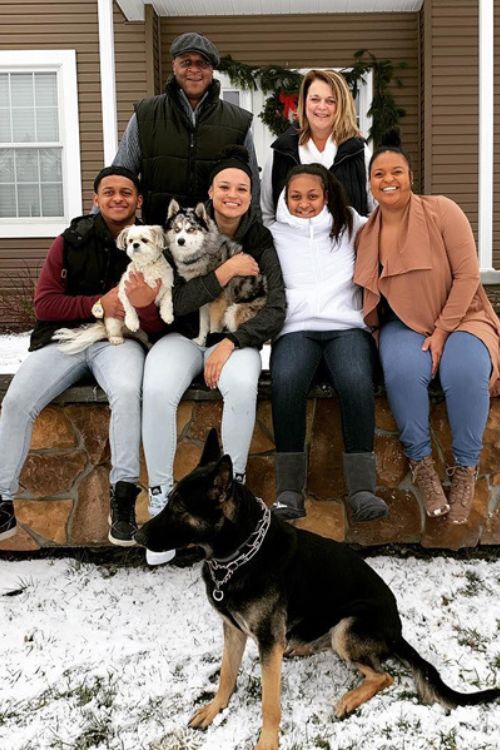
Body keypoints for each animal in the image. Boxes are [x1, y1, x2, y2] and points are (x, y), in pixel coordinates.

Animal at [54, 226, 175, 356]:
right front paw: (132, 322)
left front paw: (167, 316)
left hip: (142, 333)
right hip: (113, 322)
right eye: (130, 241)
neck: (147, 266)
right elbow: (130, 308)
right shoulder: (125, 291)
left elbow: (167, 301)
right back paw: (116, 338)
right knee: (112, 334)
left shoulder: (166, 286)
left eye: (144, 240)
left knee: (143, 338)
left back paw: (149, 344)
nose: (135, 245)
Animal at [135, 432, 498, 750]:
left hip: (348, 626)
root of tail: (397, 631)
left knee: (383, 676)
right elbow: (226, 675)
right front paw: (214, 710)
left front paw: (267, 742)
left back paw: (349, 698)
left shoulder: (267, 640)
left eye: (180, 509)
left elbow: (270, 702)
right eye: (169, 502)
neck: (239, 555)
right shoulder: (234, 631)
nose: (137, 536)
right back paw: (300, 647)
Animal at [165, 203, 268, 350]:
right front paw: (201, 340)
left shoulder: (218, 304)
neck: (202, 254)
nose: (180, 241)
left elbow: (213, 328)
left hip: (232, 311)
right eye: (177, 229)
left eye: (191, 229)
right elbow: (203, 324)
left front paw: (211, 344)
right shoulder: (203, 301)